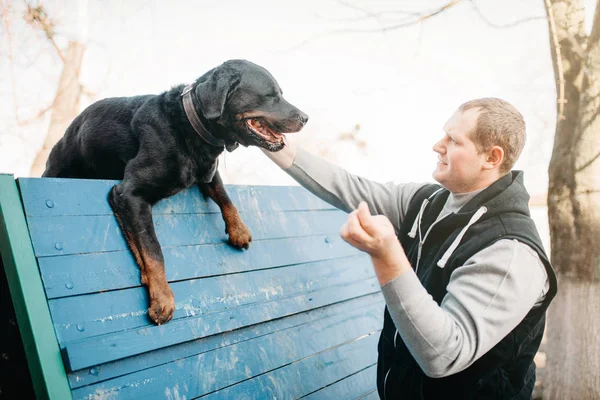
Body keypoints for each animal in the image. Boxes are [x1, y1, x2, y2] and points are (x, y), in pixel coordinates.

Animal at [43, 58, 310, 324]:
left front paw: (239, 230)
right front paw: (162, 298)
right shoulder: (129, 193)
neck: (190, 127)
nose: (306, 117)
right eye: (271, 95)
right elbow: (153, 249)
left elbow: (225, 196)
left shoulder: (207, 171)